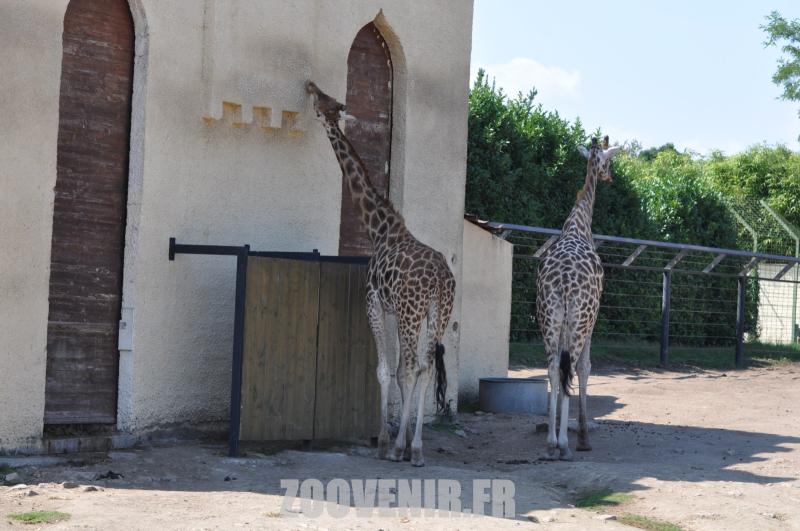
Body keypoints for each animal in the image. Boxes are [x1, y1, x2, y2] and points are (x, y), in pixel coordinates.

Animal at [306, 81, 456, 467]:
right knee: (426, 366)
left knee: (415, 365)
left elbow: (385, 369)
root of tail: (439, 280)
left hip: (411, 312)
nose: (309, 85)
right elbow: (401, 372)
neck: (380, 228)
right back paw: (417, 447)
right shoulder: (393, 309)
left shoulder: (374, 302)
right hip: (438, 313)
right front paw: (395, 437)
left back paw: (406, 447)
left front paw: (386, 441)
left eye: (322, 100)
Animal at [536, 136, 621, 460]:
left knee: (551, 369)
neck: (578, 225)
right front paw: (583, 437)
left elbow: (560, 373)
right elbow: (585, 368)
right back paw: (563, 444)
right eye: (609, 161)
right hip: (579, 320)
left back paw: (551, 441)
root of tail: (563, 282)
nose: (610, 177)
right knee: (569, 367)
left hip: (548, 317)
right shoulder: (592, 320)